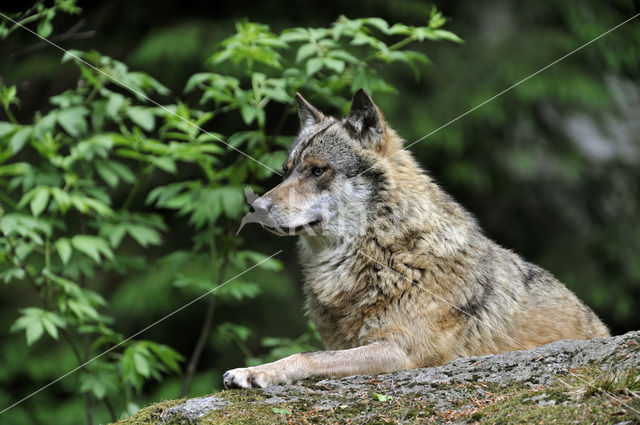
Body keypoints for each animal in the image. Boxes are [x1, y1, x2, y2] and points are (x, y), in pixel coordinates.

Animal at [224, 89, 608, 388]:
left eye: (318, 170)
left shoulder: (402, 350)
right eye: (286, 172)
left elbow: (308, 356)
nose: (256, 207)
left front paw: (254, 372)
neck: (388, 253)